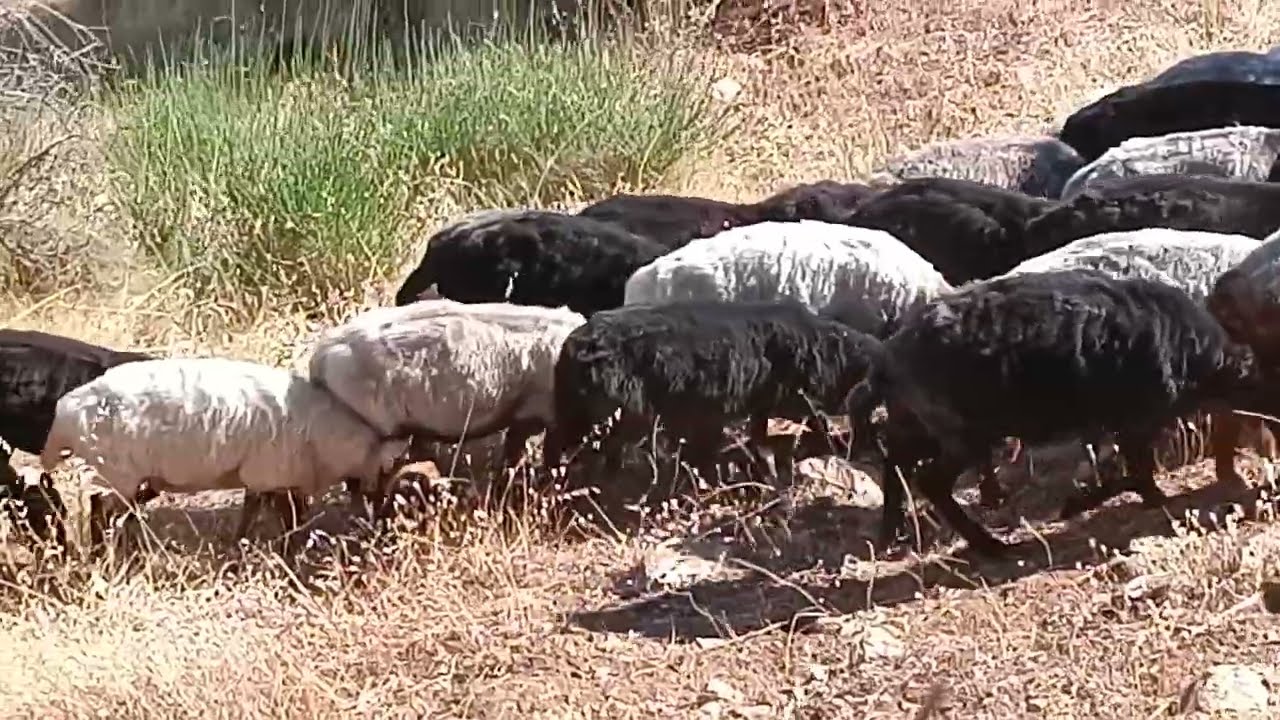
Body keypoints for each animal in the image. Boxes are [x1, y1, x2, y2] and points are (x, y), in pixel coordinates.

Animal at [38, 357, 410, 547]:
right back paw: (102, 550)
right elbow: (282, 515)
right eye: (390, 468)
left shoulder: (264, 476)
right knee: (100, 507)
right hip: (119, 469)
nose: (379, 517)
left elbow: (255, 508)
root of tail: (67, 409)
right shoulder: (270, 471)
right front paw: (284, 544)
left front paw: (240, 543)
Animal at [543, 299, 882, 484]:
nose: (870, 440)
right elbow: (815, 425)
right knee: (568, 441)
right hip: (610, 410)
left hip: (586, 407)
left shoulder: (756, 404)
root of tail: (575, 343)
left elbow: (757, 440)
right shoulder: (788, 398)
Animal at [848, 269, 1260, 557]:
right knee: (929, 479)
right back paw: (992, 548)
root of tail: (888, 359)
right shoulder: (1136, 420)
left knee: (896, 461)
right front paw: (1080, 505)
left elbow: (1134, 470)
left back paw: (890, 536)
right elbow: (1137, 472)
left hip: (920, 423)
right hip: (960, 432)